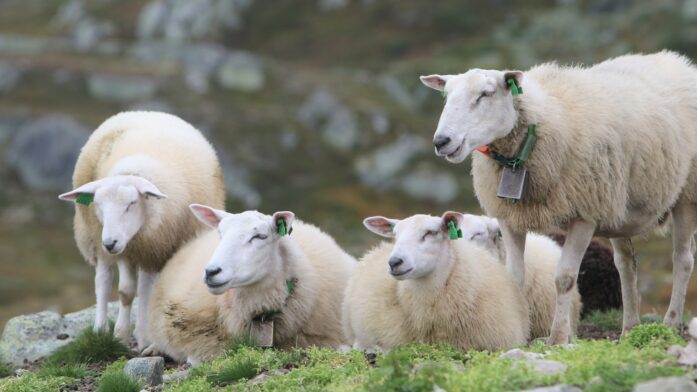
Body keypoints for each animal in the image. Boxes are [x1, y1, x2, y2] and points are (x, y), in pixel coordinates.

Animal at [59, 111, 226, 350]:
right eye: (98, 204)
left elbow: (147, 293)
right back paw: (101, 330)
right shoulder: (129, 250)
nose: (110, 242)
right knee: (103, 280)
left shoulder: (150, 249)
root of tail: (148, 112)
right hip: (95, 235)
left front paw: (145, 337)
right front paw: (120, 335)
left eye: (131, 203)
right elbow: (125, 292)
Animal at [418, 51, 697, 344]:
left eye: (486, 93)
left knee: (682, 259)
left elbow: (564, 278)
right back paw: (630, 328)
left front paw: (558, 338)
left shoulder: (584, 214)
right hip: (618, 208)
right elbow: (514, 277)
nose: (441, 141)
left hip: (686, 194)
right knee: (626, 264)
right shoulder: (510, 218)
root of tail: (675, 61)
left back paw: (671, 323)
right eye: (446, 95)